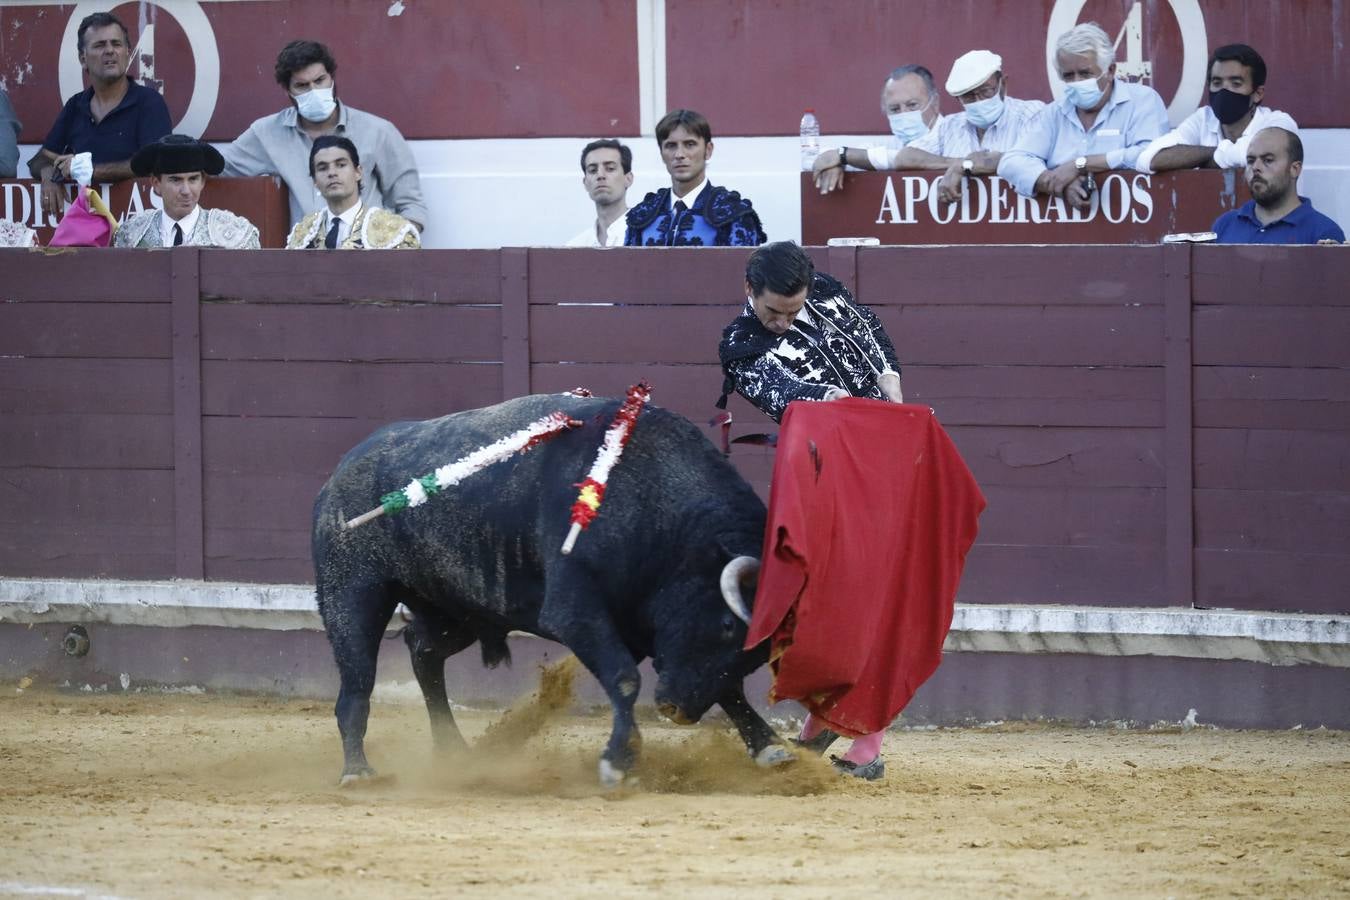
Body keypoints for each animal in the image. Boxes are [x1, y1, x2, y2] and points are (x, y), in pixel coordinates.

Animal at [311, 391, 788, 782]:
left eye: (758, 654)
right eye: (727, 626)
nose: (678, 710)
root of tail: (336, 477)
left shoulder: (643, 626)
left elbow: (726, 688)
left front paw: (771, 750)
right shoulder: (575, 612)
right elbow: (625, 678)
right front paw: (618, 761)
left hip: (456, 611)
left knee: (423, 652)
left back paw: (454, 751)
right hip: (352, 592)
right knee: (358, 681)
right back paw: (358, 771)